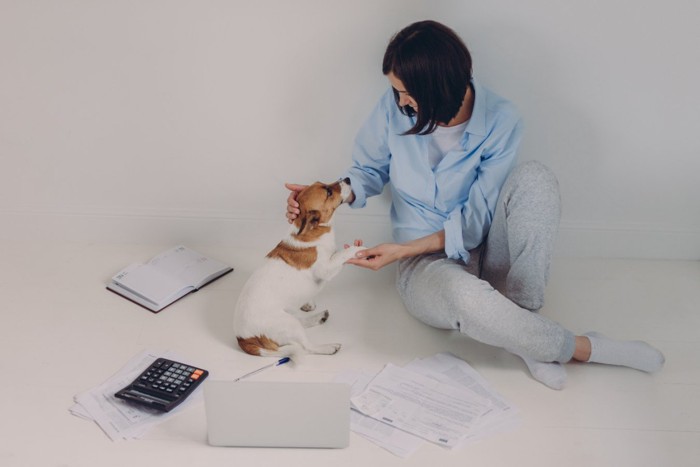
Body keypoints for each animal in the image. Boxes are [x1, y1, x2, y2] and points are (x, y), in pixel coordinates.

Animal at [235, 178, 366, 358]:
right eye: (328, 192)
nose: (347, 179)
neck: (313, 230)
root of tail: (243, 339)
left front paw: (308, 303)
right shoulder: (326, 268)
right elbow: (341, 255)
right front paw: (357, 249)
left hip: (291, 320)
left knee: (302, 323)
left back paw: (318, 317)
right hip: (289, 324)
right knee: (307, 347)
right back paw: (328, 347)